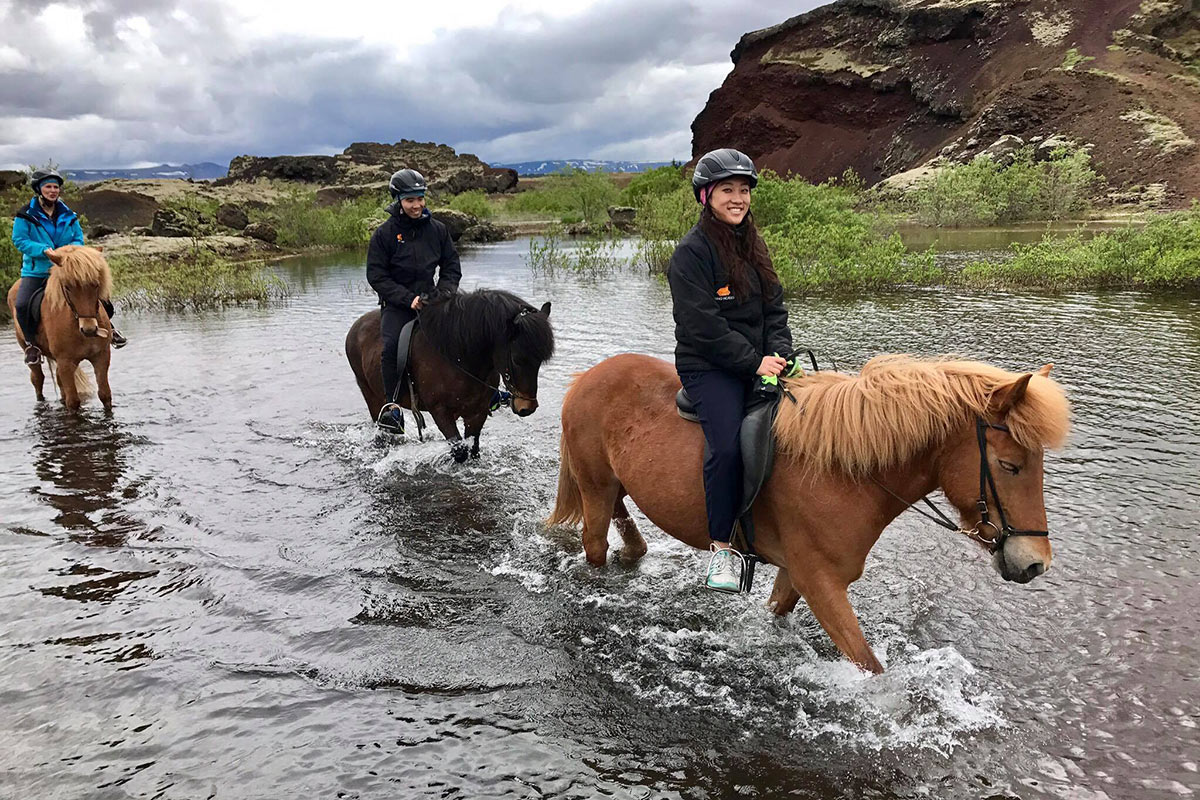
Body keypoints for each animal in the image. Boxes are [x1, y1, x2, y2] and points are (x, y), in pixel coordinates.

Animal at [6, 245, 115, 410]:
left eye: (96, 284)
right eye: (68, 287)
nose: (89, 329)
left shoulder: (101, 356)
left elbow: (105, 395)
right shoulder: (65, 362)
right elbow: (73, 402)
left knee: (58, 381)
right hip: (30, 352)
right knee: (37, 379)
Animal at [345, 287, 554, 462]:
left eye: (540, 360)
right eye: (517, 359)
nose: (527, 407)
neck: (459, 359)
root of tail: (357, 326)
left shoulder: (477, 412)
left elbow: (474, 449)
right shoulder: (440, 412)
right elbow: (460, 452)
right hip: (371, 395)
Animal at [547, 352, 1070, 671]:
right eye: (1010, 465)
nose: (1035, 563)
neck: (843, 472)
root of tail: (586, 379)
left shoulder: (796, 574)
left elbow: (777, 613)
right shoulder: (821, 581)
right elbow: (870, 666)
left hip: (612, 484)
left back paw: (634, 550)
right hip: (594, 487)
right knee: (594, 543)